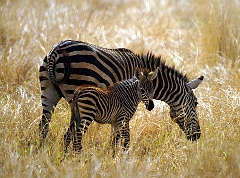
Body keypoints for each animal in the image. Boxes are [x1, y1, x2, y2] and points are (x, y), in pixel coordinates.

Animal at [38, 39, 203, 143]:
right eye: (196, 103)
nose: (198, 136)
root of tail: (56, 50)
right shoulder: (124, 103)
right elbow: (119, 137)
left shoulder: (116, 108)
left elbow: (114, 136)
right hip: (77, 95)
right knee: (70, 133)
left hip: (48, 92)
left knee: (43, 127)